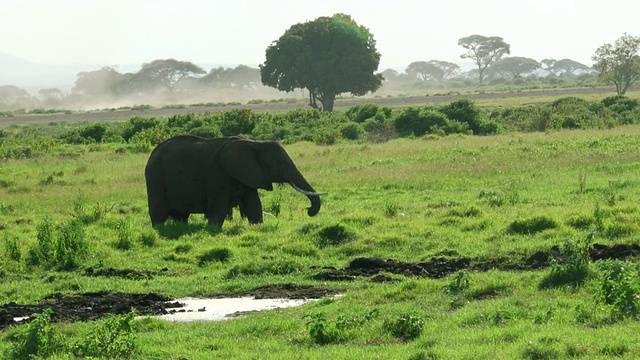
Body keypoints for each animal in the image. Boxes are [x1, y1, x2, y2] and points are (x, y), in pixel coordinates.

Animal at [145, 136, 324, 226]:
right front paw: (214, 230)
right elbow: (218, 207)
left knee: (181, 216)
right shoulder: (218, 174)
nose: (308, 210)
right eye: (278, 164)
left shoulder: (248, 175)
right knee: (158, 214)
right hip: (155, 178)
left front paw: (257, 227)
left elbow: (254, 205)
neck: (256, 144)